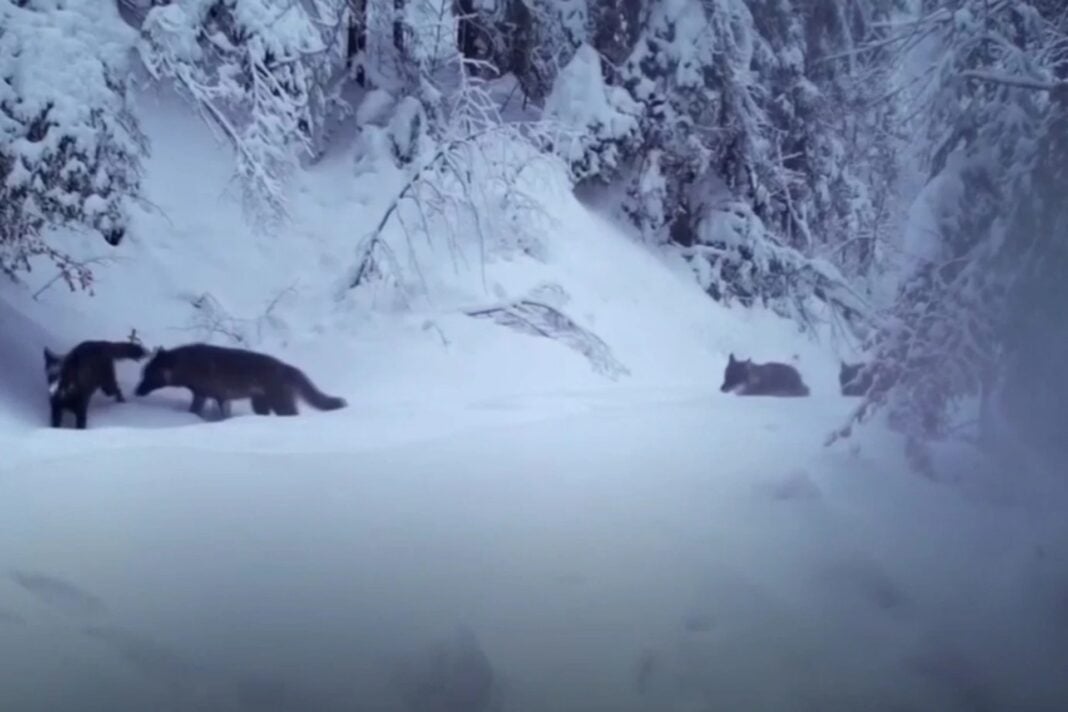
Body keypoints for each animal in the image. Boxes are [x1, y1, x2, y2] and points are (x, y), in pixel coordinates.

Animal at [134, 343, 347, 419]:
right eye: (143, 373)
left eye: (148, 374)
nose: (136, 391)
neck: (187, 365)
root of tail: (288, 367)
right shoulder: (205, 395)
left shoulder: (215, 396)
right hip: (260, 404)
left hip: (280, 404)